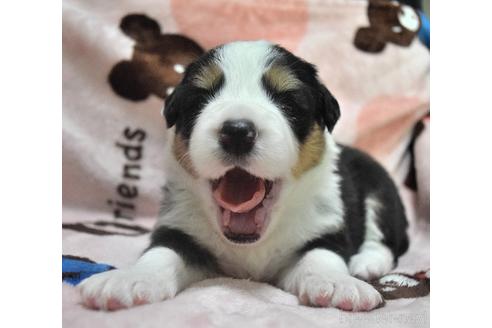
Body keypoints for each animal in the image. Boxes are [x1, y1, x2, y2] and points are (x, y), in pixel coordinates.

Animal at [80, 39, 410, 312]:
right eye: (200, 101)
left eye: (287, 102)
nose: (237, 132)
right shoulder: (179, 228)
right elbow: (160, 254)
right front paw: (127, 279)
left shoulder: (325, 227)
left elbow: (322, 257)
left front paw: (337, 284)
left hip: (381, 192)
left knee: (383, 241)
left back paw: (364, 264)